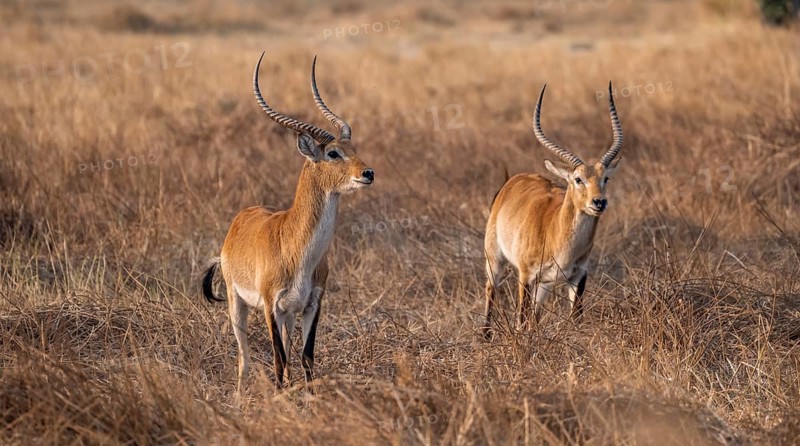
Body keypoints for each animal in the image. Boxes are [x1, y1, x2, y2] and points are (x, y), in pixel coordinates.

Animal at [202, 52, 374, 390]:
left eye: (353, 148)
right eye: (333, 153)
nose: (368, 173)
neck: (297, 249)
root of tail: (241, 218)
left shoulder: (312, 304)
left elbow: (306, 357)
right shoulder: (271, 305)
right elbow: (279, 359)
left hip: (289, 315)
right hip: (237, 303)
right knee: (244, 358)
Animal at [482, 83, 623, 338]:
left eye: (605, 178)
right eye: (578, 179)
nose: (599, 202)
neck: (556, 232)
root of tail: (511, 181)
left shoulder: (578, 276)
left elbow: (576, 319)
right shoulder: (525, 276)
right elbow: (520, 319)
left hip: (544, 285)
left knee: (535, 317)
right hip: (495, 259)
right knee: (491, 291)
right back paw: (485, 336)